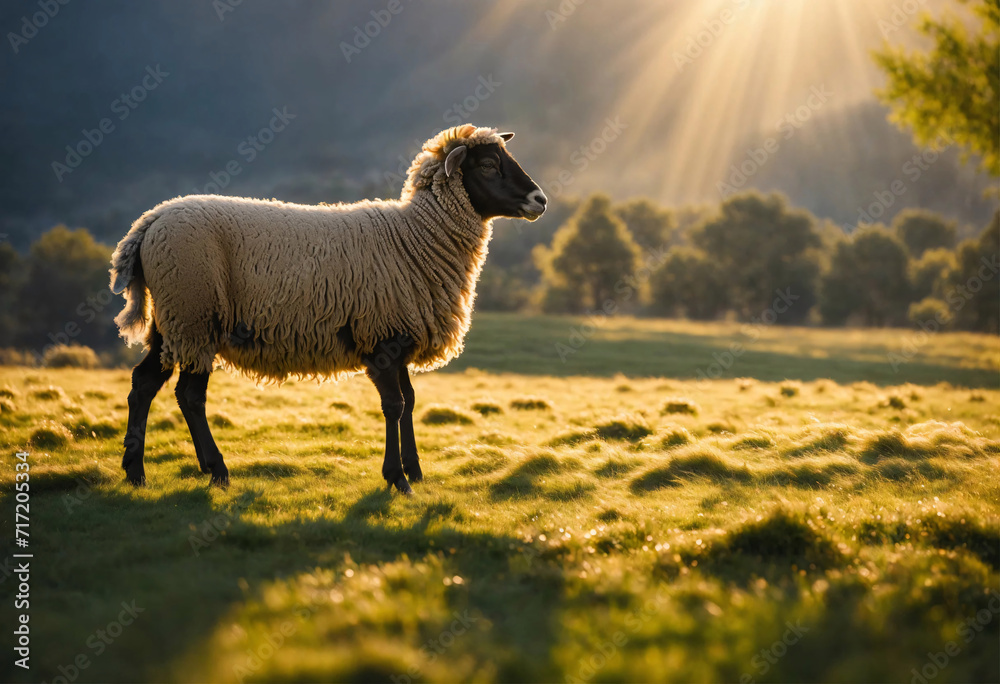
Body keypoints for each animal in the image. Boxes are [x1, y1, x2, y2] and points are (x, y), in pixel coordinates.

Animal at [109, 125, 548, 494]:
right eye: (488, 165)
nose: (540, 200)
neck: (415, 239)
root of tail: (151, 221)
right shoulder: (382, 340)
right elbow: (394, 406)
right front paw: (397, 478)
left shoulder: (401, 336)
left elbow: (410, 401)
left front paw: (415, 470)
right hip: (193, 314)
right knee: (189, 395)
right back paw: (215, 470)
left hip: (172, 321)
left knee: (145, 384)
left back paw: (137, 472)